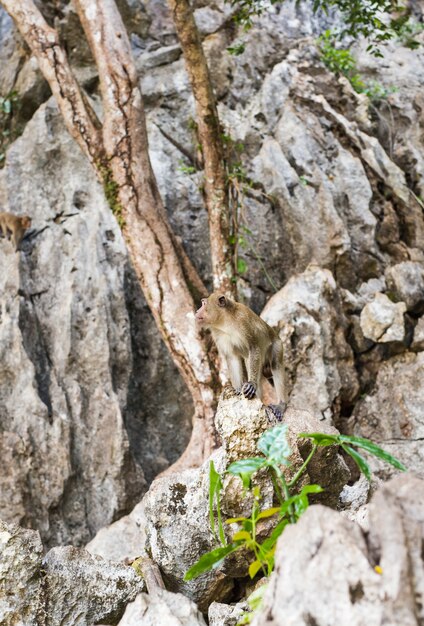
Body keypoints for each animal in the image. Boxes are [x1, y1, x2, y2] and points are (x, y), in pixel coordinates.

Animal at [196, 292, 288, 420]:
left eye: (204, 304)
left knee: (275, 364)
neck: (225, 322)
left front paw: (251, 384)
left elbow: (254, 347)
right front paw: (238, 389)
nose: (197, 311)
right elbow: (232, 357)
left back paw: (281, 405)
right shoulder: (217, 333)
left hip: (277, 344)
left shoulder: (243, 321)